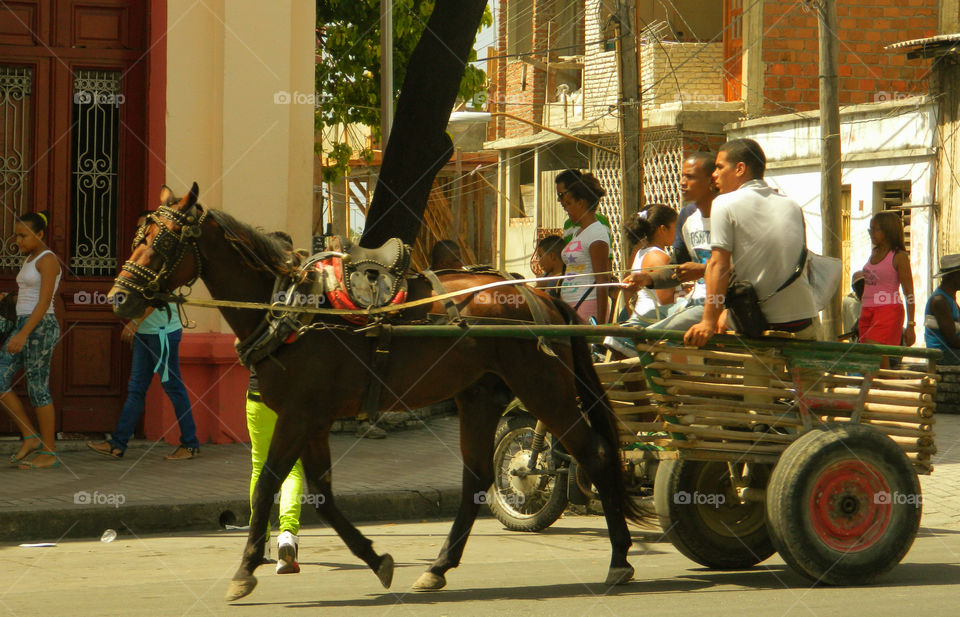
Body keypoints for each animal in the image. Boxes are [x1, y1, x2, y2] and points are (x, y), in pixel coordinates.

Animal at [107, 184, 644, 600]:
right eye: (137, 237)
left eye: (164, 242)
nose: (117, 298)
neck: (290, 308)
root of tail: (538, 293)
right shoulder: (313, 420)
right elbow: (321, 494)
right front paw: (375, 558)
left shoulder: (298, 416)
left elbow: (266, 486)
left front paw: (243, 571)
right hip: (480, 398)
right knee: (475, 479)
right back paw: (438, 568)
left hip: (543, 390)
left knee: (595, 455)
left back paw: (620, 558)